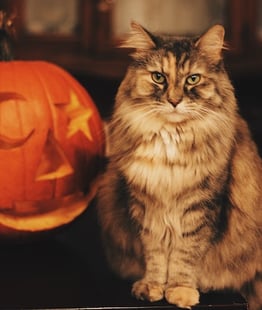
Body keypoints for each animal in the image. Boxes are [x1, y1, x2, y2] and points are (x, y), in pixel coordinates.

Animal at [96, 22, 262, 310]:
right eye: (158, 77)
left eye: (192, 79)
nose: (174, 101)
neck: (170, 141)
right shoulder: (145, 205)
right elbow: (155, 253)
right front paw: (152, 286)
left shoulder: (201, 206)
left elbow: (185, 255)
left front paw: (180, 290)